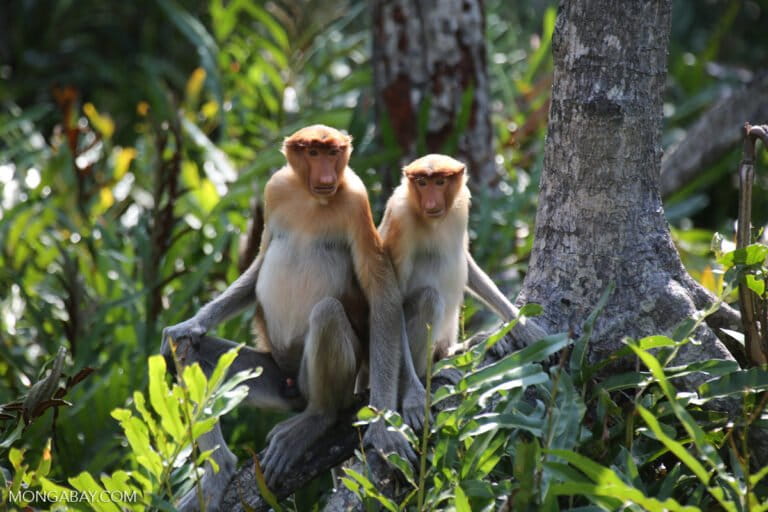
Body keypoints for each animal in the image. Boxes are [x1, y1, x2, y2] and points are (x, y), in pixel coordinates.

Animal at [161, 125, 413, 511]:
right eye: (312, 153)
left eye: (333, 153)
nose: (326, 176)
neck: (311, 199)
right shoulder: (276, 189)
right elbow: (261, 262)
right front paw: (189, 325)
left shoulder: (355, 202)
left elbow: (382, 294)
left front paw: (383, 426)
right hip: (275, 377)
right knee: (190, 352)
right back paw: (219, 474)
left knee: (327, 314)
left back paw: (314, 420)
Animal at [378, 154, 532, 427]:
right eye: (421, 183)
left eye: (440, 182)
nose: (431, 203)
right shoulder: (400, 220)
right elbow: (392, 301)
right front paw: (413, 398)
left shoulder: (461, 207)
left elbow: (467, 263)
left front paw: (521, 324)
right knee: (429, 298)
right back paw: (429, 373)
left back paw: (457, 349)